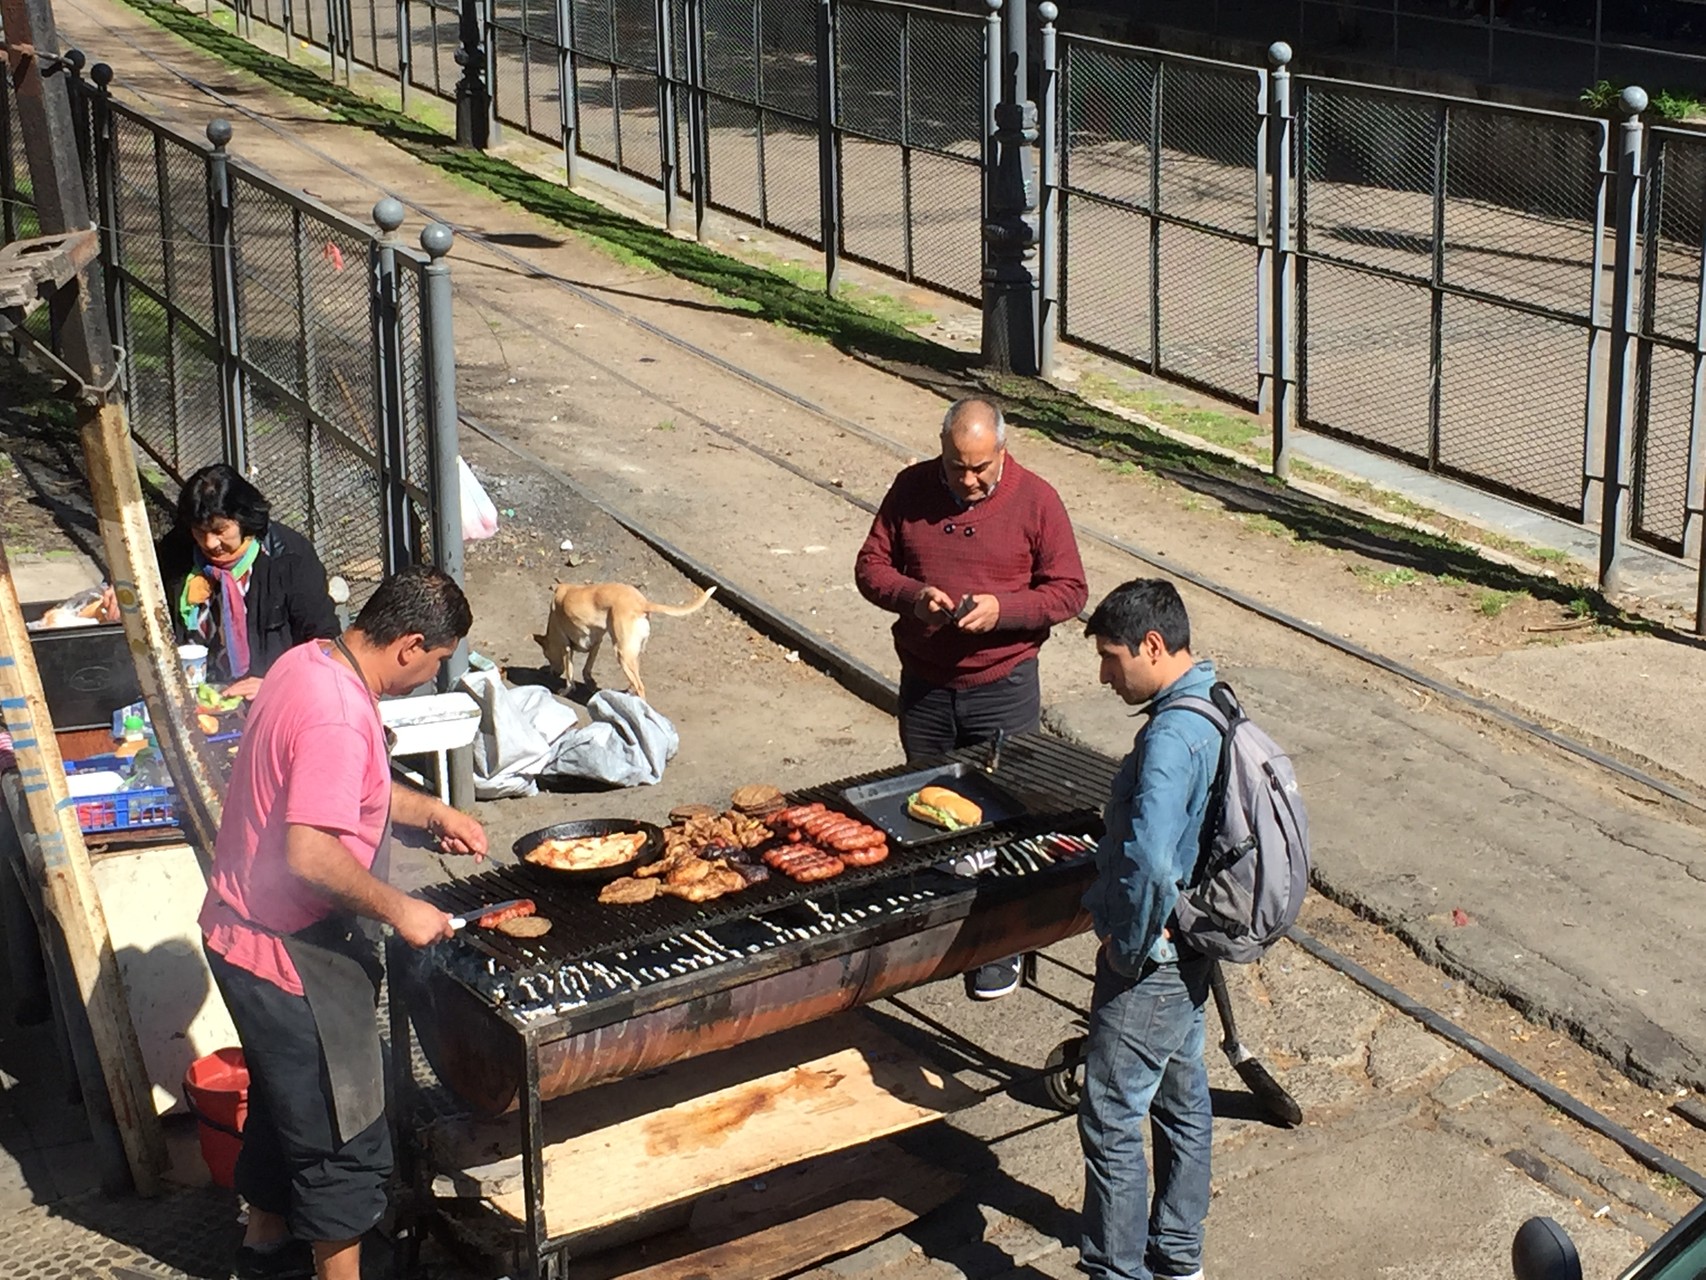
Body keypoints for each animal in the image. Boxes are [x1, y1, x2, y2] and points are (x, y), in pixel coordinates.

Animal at [535, 583, 716, 703]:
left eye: (546, 654)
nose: (552, 673)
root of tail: (642, 603)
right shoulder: (596, 642)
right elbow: (587, 668)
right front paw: (590, 683)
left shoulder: (565, 647)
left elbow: (570, 673)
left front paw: (566, 689)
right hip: (632, 654)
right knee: (634, 680)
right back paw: (628, 693)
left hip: (622, 654)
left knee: (640, 686)